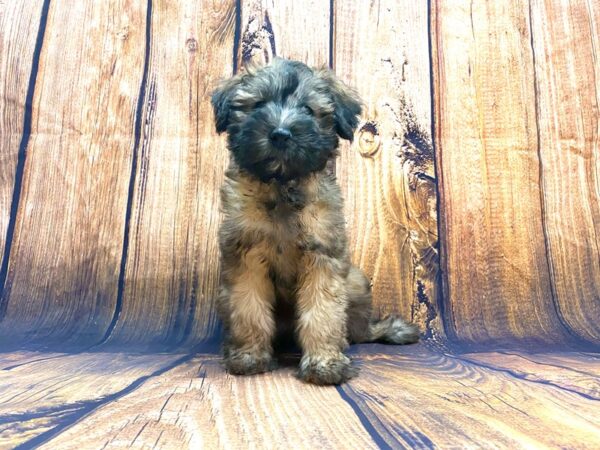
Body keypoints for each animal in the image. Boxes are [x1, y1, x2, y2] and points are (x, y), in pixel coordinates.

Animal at [211, 58, 418, 384]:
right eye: (258, 104)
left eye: (308, 110)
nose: (280, 133)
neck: (282, 185)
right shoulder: (246, 256)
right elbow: (249, 308)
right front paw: (249, 356)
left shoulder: (322, 256)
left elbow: (322, 312)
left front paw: (324, 362)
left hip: (356, 281)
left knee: (359, 330)